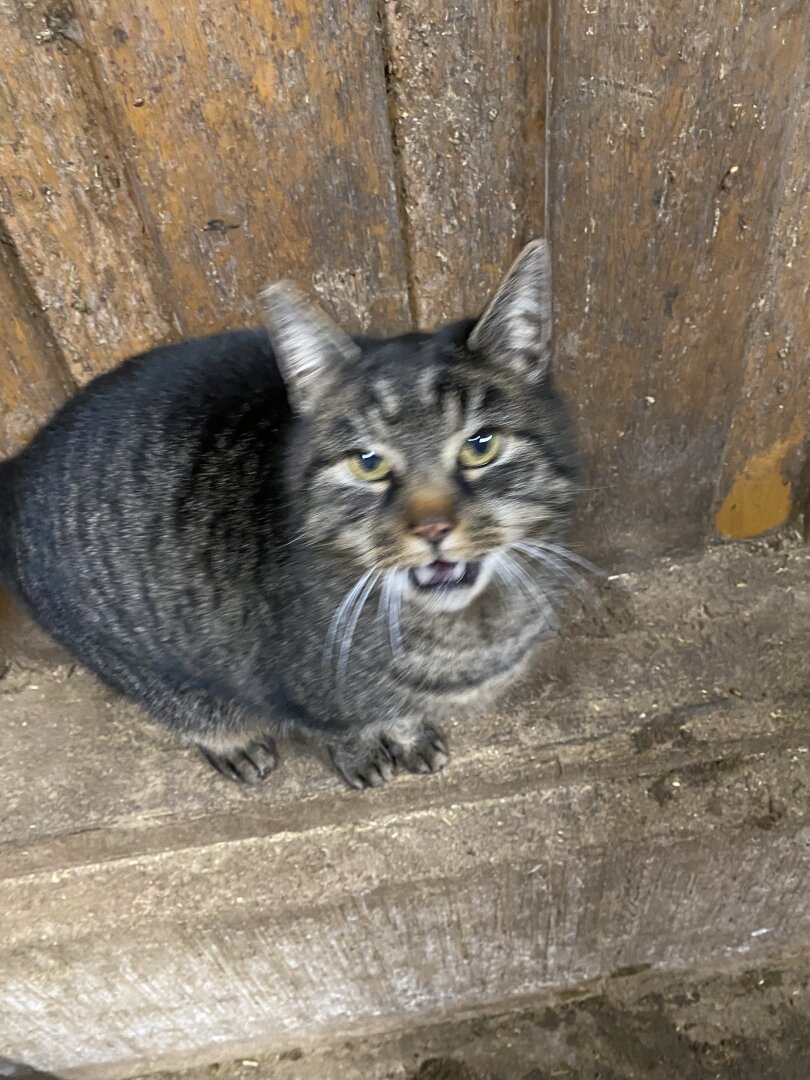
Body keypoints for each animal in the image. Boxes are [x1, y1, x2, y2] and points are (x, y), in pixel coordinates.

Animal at [1, 240, 583, 790]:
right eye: (367, 462)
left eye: (480, 445)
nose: (433, 528)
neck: (467, 633)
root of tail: (20, 465)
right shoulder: (305, 700)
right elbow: (346, 728)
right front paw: (367, 754)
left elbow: (401, 714)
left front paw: (409, 735)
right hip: (137, 662)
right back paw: (234, 743)